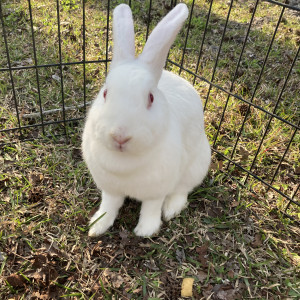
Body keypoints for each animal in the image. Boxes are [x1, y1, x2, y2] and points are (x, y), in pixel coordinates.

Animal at [81, 2, 210, 237]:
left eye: (150, 98)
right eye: (105, 93)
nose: (120, 136)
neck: (123, 161)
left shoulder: (156, 190)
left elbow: (151, 208)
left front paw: (145, 231)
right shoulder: (110, 188)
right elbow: (109, 205)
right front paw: (97, 226)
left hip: (196, 166)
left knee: (182, 190)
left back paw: (171, 209)